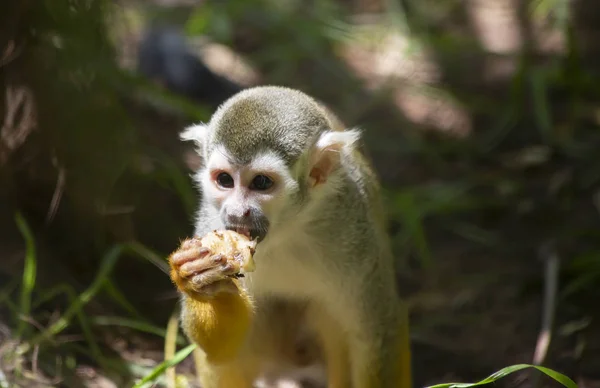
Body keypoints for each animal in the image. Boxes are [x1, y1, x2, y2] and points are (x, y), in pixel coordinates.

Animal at [169, 86, 412, 386]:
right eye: (225, 180)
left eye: (261, 182)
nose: (237, 212)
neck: (286, 229)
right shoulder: (210, 220)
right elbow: (221, 349)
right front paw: (200, 280)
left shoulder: (357, 236)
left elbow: (378, 331)